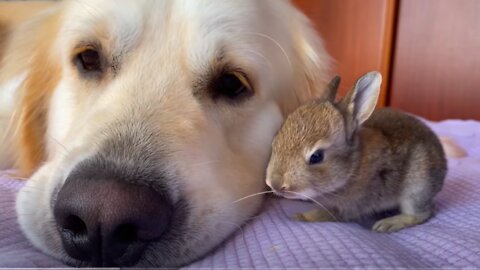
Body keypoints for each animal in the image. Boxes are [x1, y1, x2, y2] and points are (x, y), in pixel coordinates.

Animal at [266, 71, 446, 232]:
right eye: (275, 141)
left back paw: (389, 224)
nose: (275, 184)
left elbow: (332, 213)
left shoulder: (352, 204)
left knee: (421, 213)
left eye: (316, 156)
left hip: (417, 188)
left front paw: (302, 217)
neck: (353, 166)